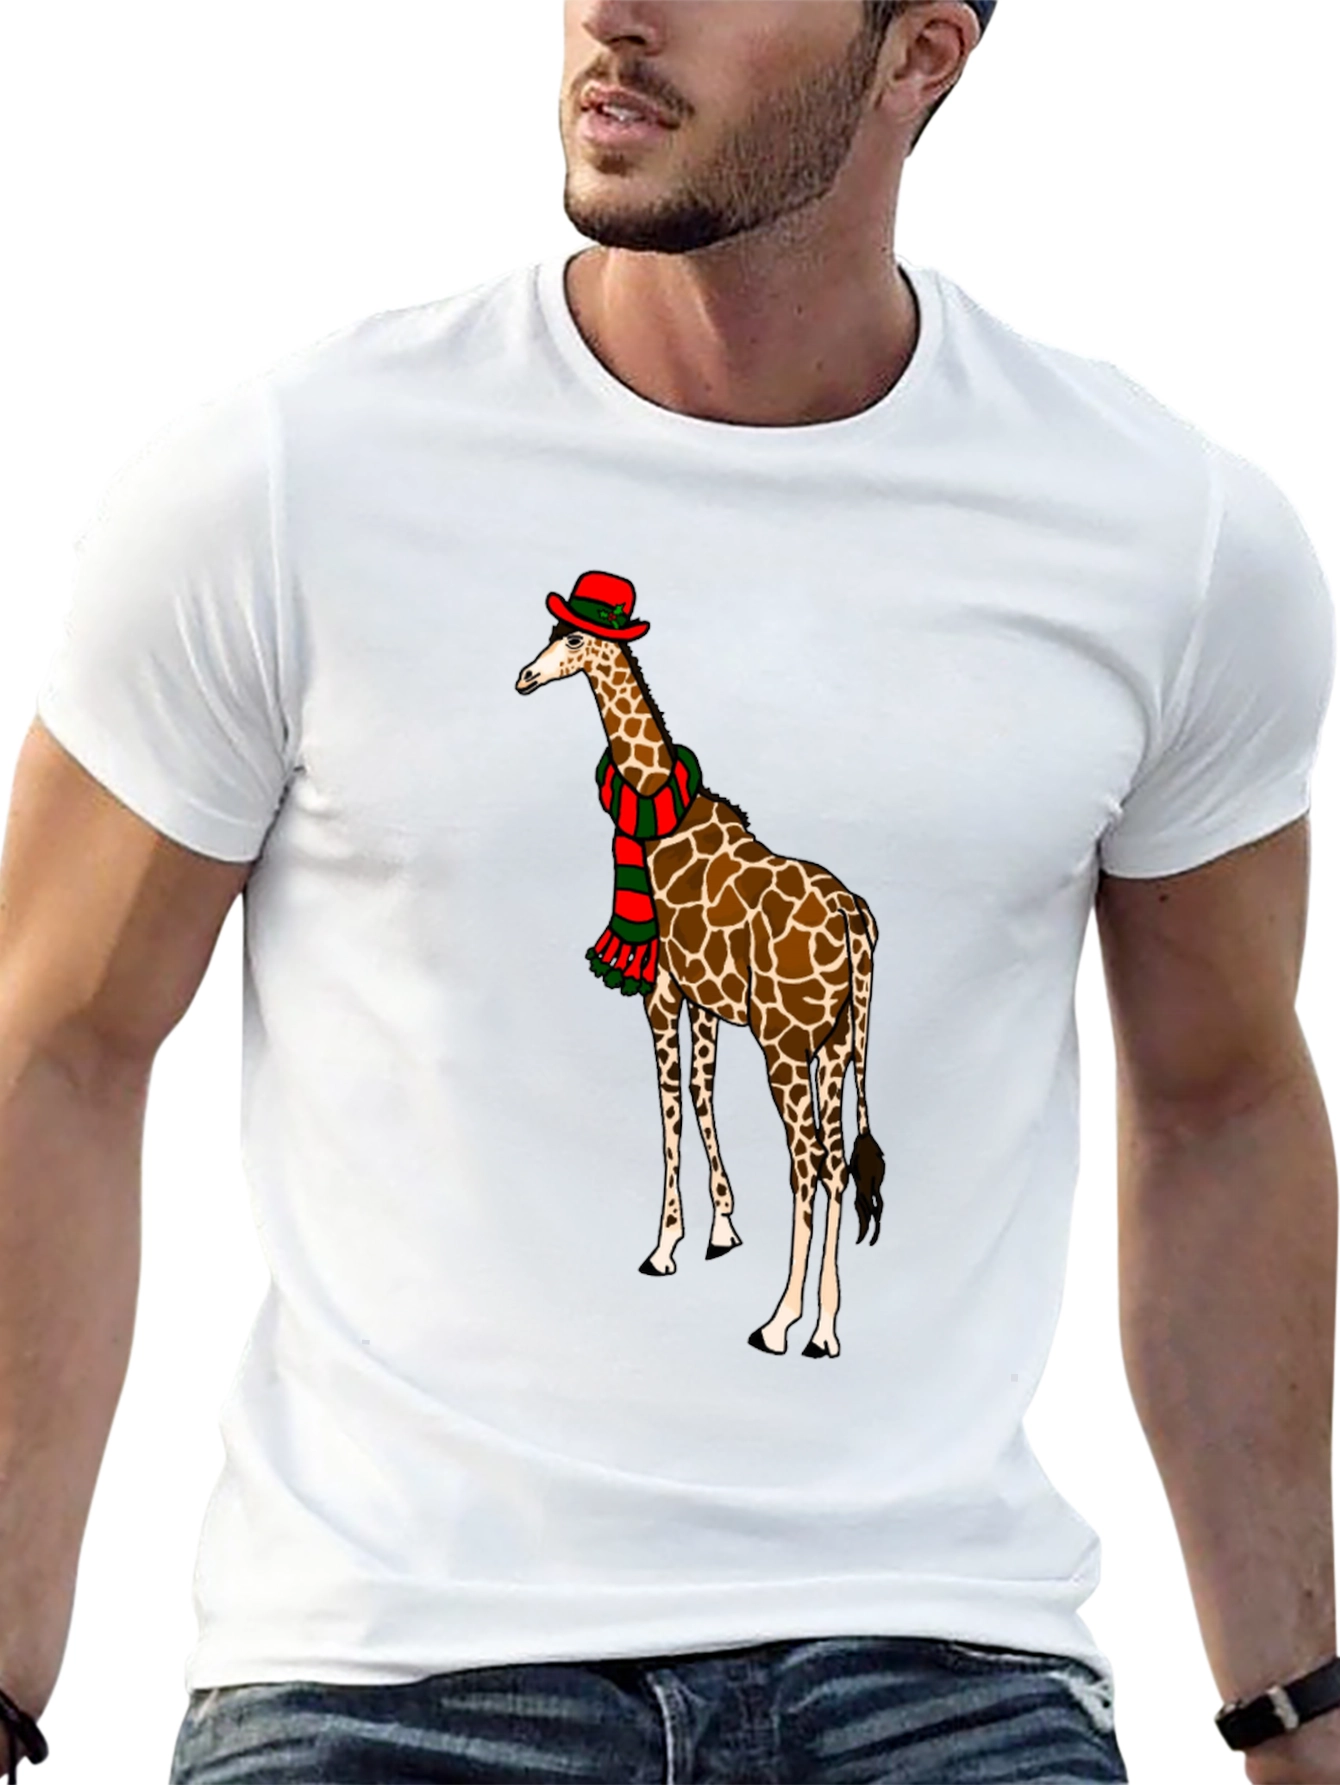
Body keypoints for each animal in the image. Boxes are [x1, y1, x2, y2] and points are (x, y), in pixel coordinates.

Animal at [515, 585, 885, 1359]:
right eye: (550, 630)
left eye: (571, 637)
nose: (524, 677)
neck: (662, 817)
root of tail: (852, 915)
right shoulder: (707, 999)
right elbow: (701, 1092)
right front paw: (720, 1228)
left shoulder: (661, 989)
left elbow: (669, 1105)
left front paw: (664, 1248)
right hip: (838, 1043)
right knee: (838, 1163)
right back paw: (825, 1330)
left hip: (786, 1043)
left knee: (808, 1163)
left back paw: (778, 1323)